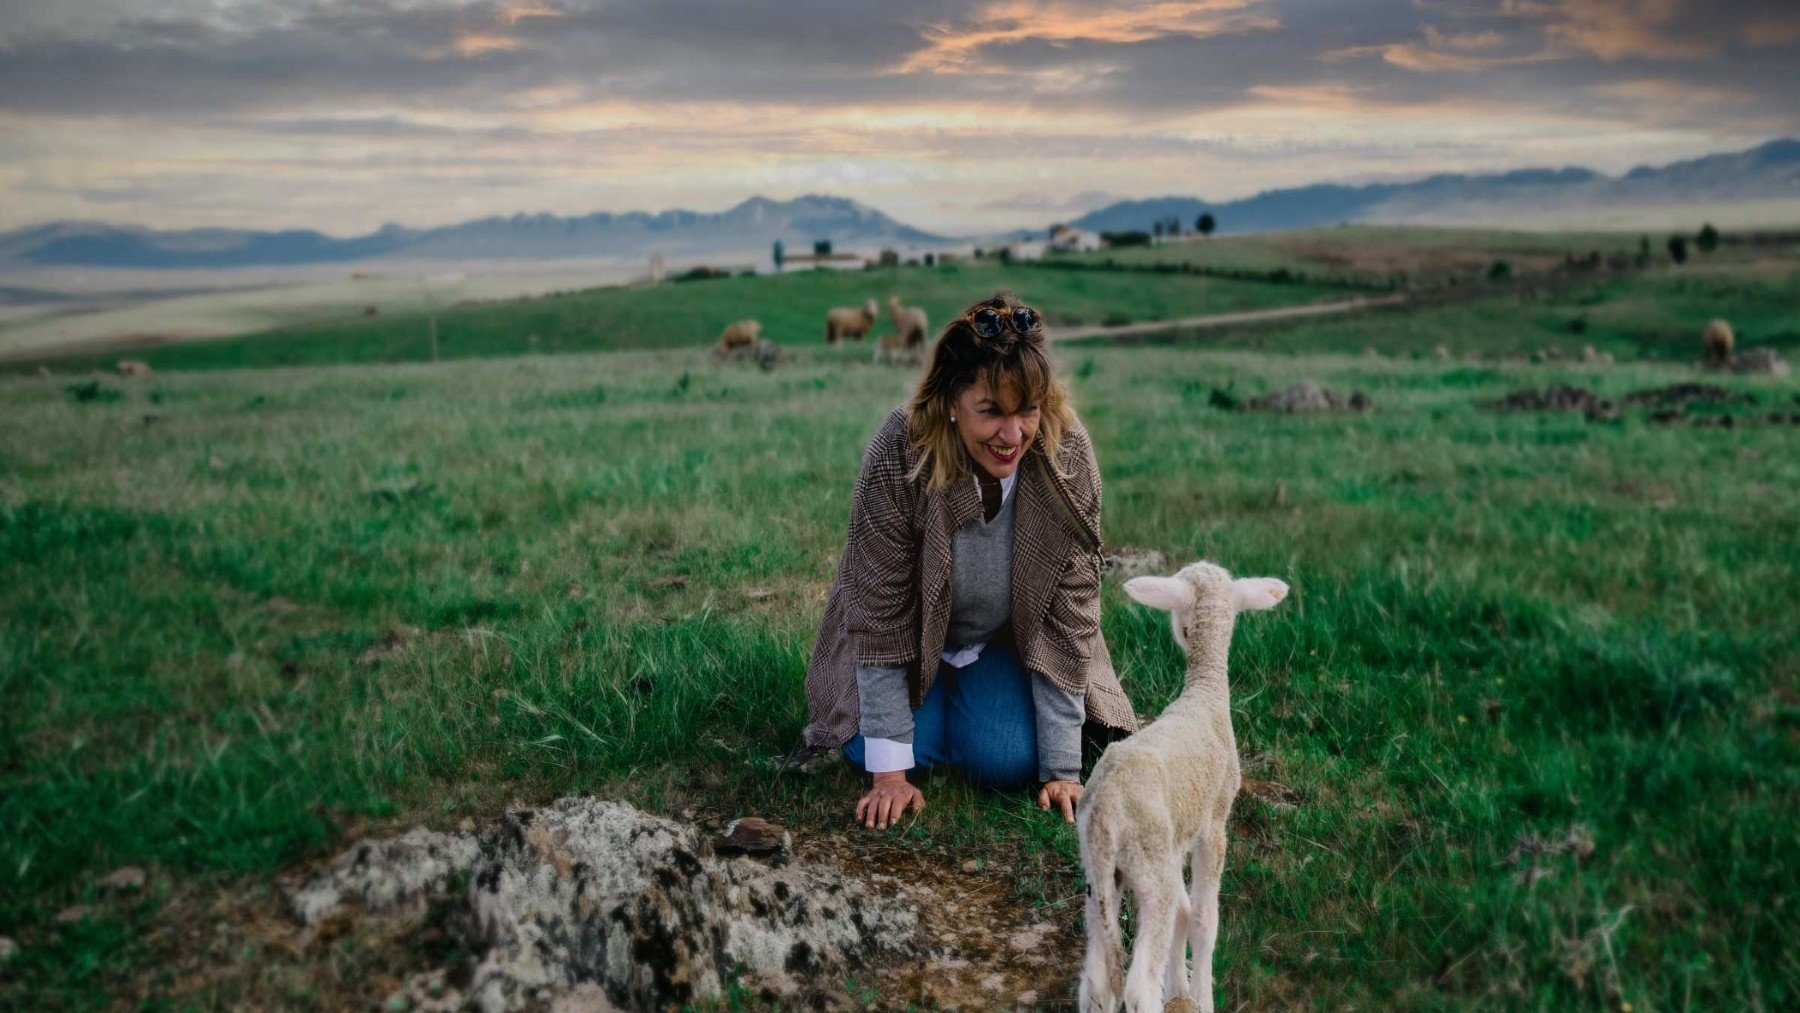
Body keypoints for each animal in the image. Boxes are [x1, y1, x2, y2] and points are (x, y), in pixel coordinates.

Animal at [1072, 561, 1288, 1013]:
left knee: (1097, 983)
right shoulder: (1214, 823)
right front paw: (1202, 997)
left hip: (1099, 875)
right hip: (1148, 869)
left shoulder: (1176, 842)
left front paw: (1180, 989)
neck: (1205, 692)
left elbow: (1183, 917)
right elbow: (1204, 921)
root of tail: (1106, 812)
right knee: (1137, 985)